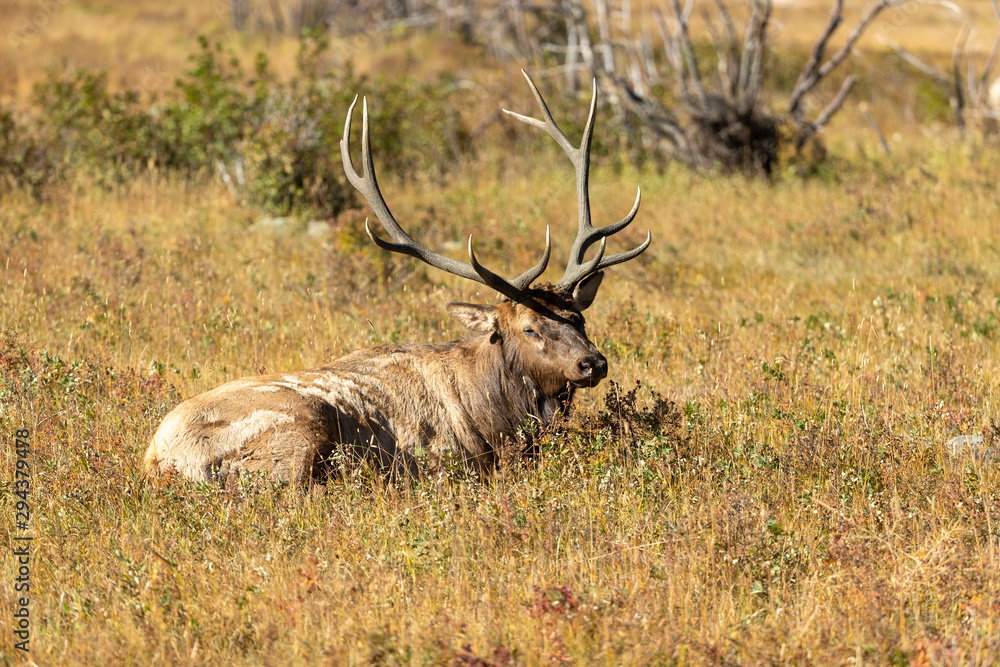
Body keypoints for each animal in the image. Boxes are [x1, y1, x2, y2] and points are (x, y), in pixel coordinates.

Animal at [143, 71, 650, 483]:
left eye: (578, 318)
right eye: (529, 328)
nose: (593, 363)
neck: (496, 419)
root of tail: (158, 459)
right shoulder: (443, 461)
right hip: (298, 429)